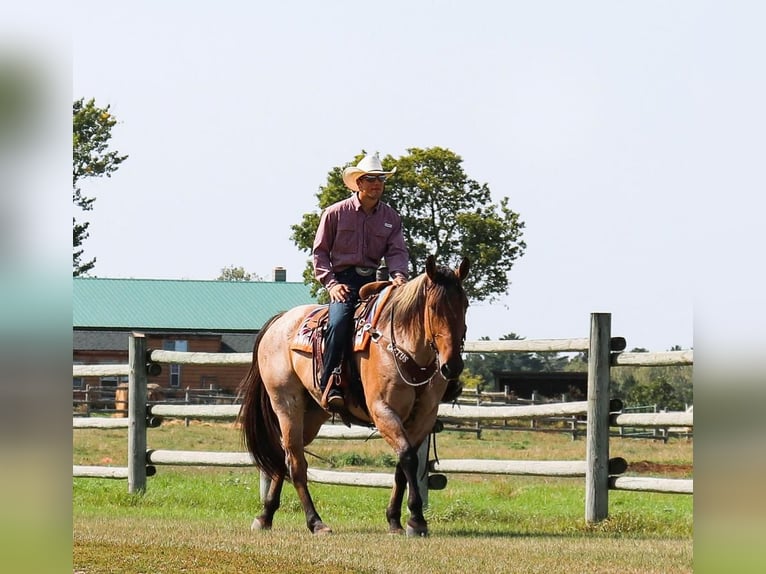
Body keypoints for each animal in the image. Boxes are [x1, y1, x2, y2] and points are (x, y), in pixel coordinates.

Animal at [240, 254, 472, 536]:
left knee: (284, 456)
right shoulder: (383, 411)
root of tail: (280, 320)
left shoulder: (423, 418)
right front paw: (416, 519)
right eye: (434, 308)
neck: (404, 348)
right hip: (286, 405)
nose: (452, 366)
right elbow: (407, 457)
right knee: (296, 463)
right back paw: (315, 522)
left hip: (311, 414)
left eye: (465, 304)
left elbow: (402, 465)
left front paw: (395, 519)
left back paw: (265, 515)